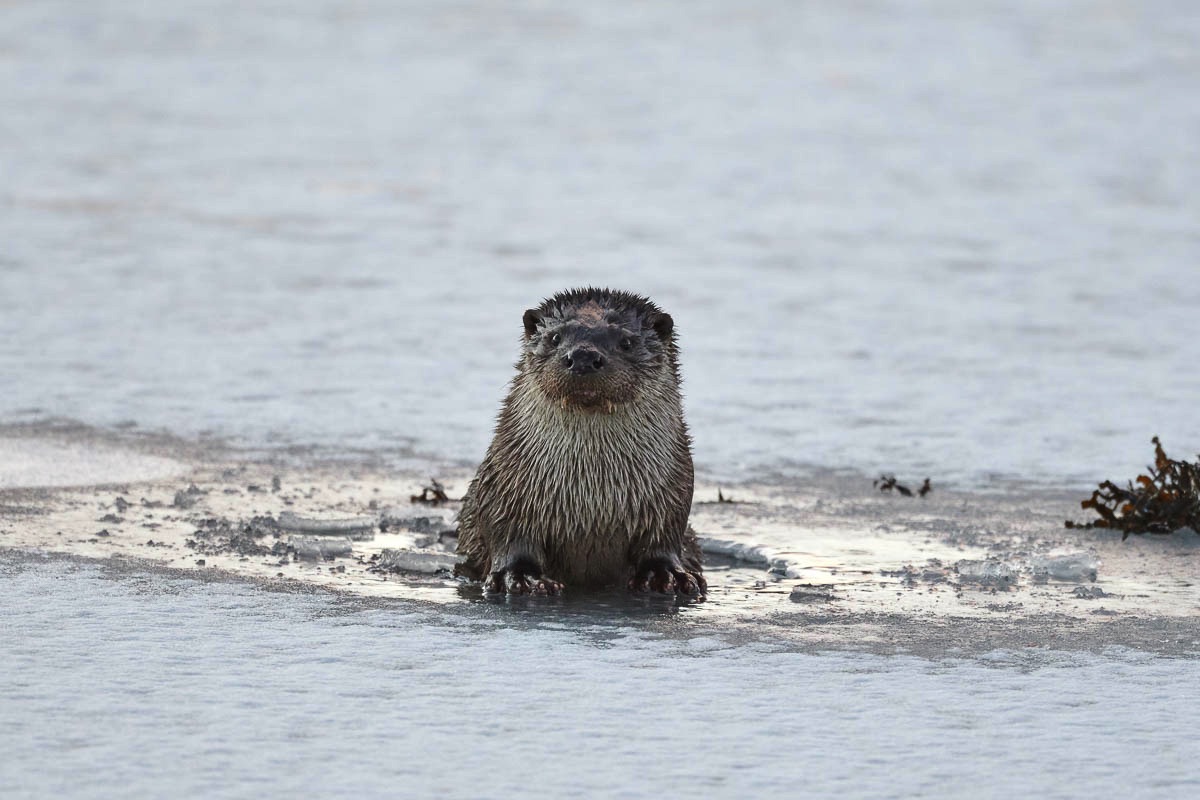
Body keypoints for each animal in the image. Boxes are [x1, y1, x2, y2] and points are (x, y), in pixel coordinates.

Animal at [456, 284, 700, 597]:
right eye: (555, 337)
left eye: (626, 342)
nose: (583, 356)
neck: (592, 498)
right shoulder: (504, 488)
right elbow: (509, 537)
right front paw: (520, 577)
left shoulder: (673, 493)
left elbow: (662, 541)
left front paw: (665, 573)